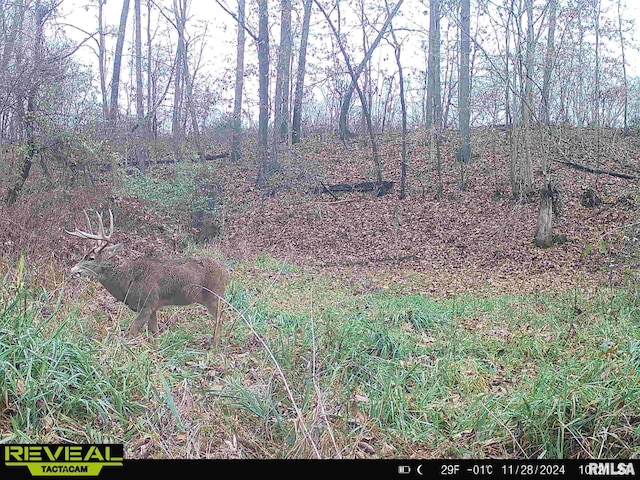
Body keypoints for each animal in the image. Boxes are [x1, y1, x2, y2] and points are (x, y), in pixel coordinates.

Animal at [65, 212, 229, 344]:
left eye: (91, 258)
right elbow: (154, 332)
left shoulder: (147, 303)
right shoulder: (154, 306)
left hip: (213, 295)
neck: (127, 281)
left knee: (220, 317)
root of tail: (225, 271)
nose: (73, 270)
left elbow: (133, 331)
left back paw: (213, 345)